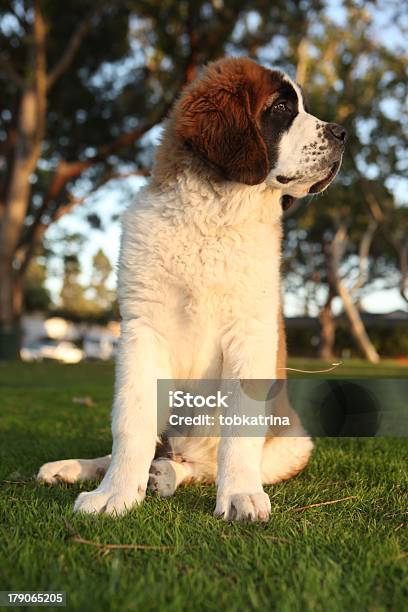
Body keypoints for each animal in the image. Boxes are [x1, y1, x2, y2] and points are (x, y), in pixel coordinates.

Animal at [37, 57, 344, 520]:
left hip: (292, 444)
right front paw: (115, 494)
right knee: (150, 444)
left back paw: (167, 474)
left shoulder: (249, 336)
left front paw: (238, 494)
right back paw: (80, 468)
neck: (213, 217)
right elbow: (131, 421)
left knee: (200, 464)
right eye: (281, 108)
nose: (343, 133)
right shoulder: (142, 333)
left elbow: (239, 430)